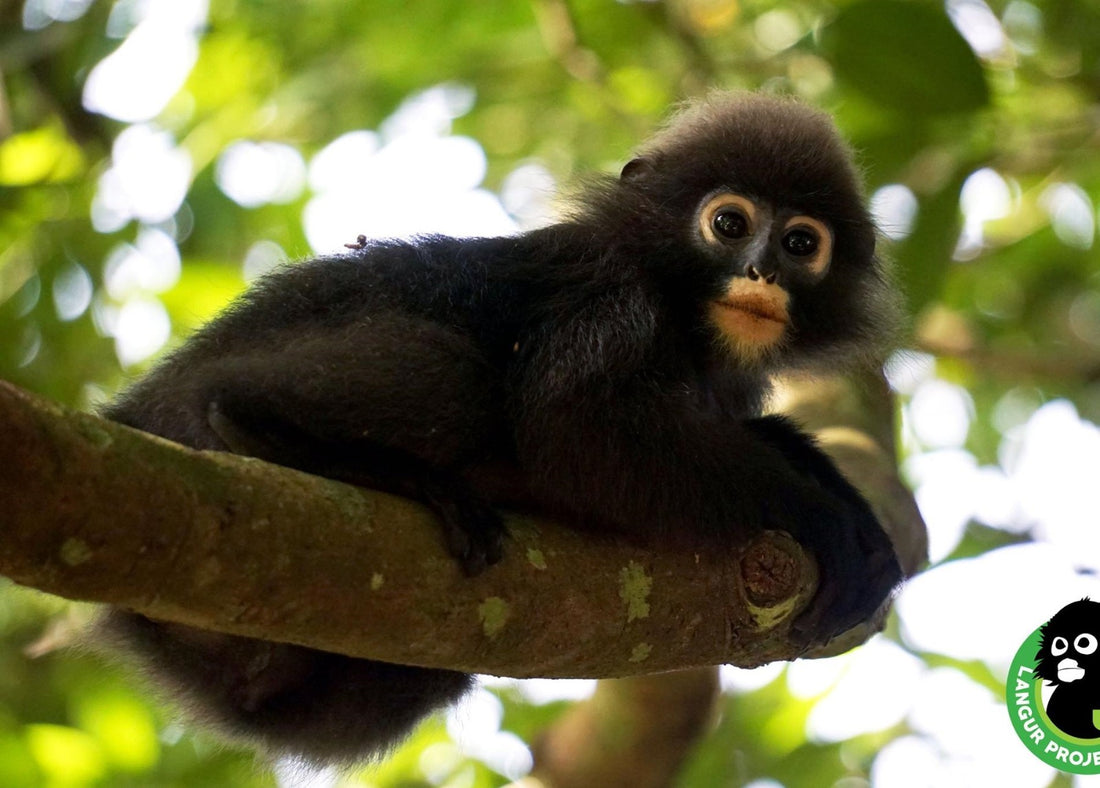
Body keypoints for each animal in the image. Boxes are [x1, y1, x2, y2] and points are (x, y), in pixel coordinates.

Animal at [99, 90, 902, 761]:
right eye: (729, 224)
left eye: (801, 244)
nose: (763, 273)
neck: (683, 316)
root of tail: (133, 416)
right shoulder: (605, 298)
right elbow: (577, 431)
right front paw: (826, 517)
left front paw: (835, 484)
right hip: (201, 413)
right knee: (440, 377)